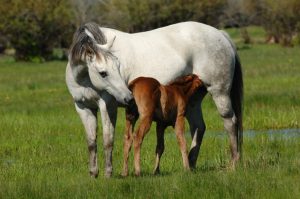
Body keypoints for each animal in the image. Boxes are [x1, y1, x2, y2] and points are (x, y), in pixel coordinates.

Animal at [66, 21, 244, 177]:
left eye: (118, 66)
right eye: (103, 73)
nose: (127, 97)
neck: (84, 79)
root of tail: (220, 34)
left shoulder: (107, 105)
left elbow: (108, 139)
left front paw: (108, 173)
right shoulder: (83, 107)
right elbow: (91, 142)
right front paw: (93, 173)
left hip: (219, 93)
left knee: (230, 122)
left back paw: (234, 164)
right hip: (194, 101)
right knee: (198, 127)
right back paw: (191, 164)